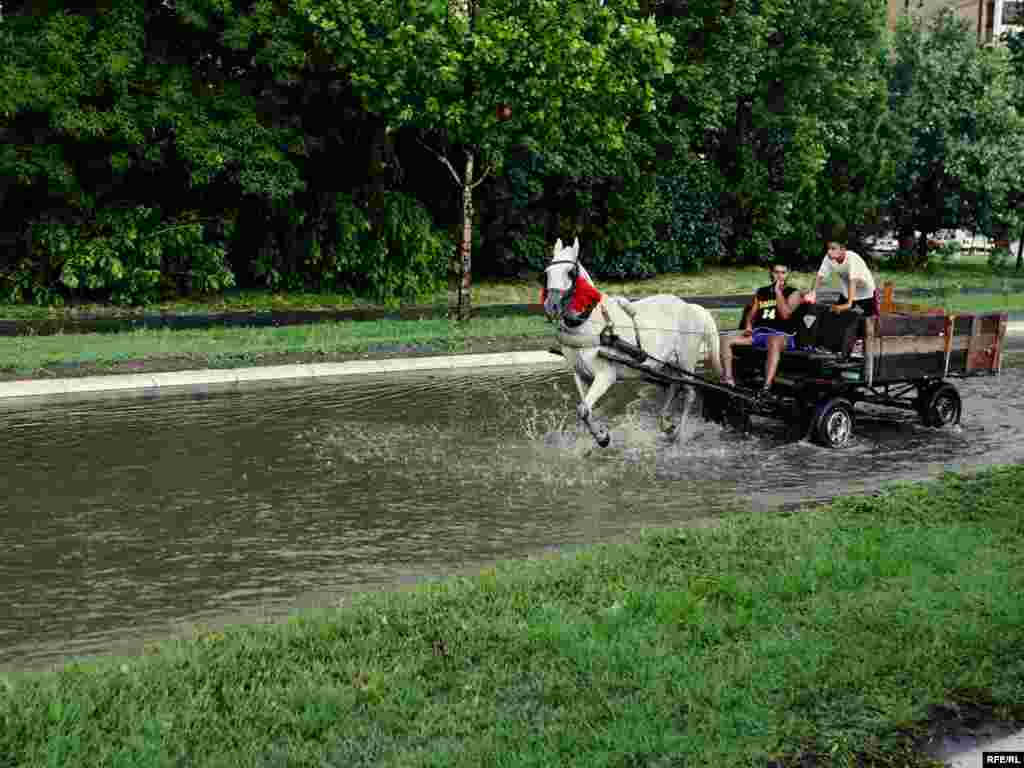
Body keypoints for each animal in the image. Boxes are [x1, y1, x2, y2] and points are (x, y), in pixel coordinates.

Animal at [540, 237, 724, 448]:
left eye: (570, 272)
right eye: (547, 273)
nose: (551, 306)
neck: (589, 324)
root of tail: (691, 307)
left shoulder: (605, 375)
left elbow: (583, 410)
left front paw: (603, 437)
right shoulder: (581, 375)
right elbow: (584, 410)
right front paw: (601, 436)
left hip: (686, 361)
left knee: (689, 393)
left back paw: (679, 436)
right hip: (668, 363)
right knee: (672, 387)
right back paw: (665, 424)